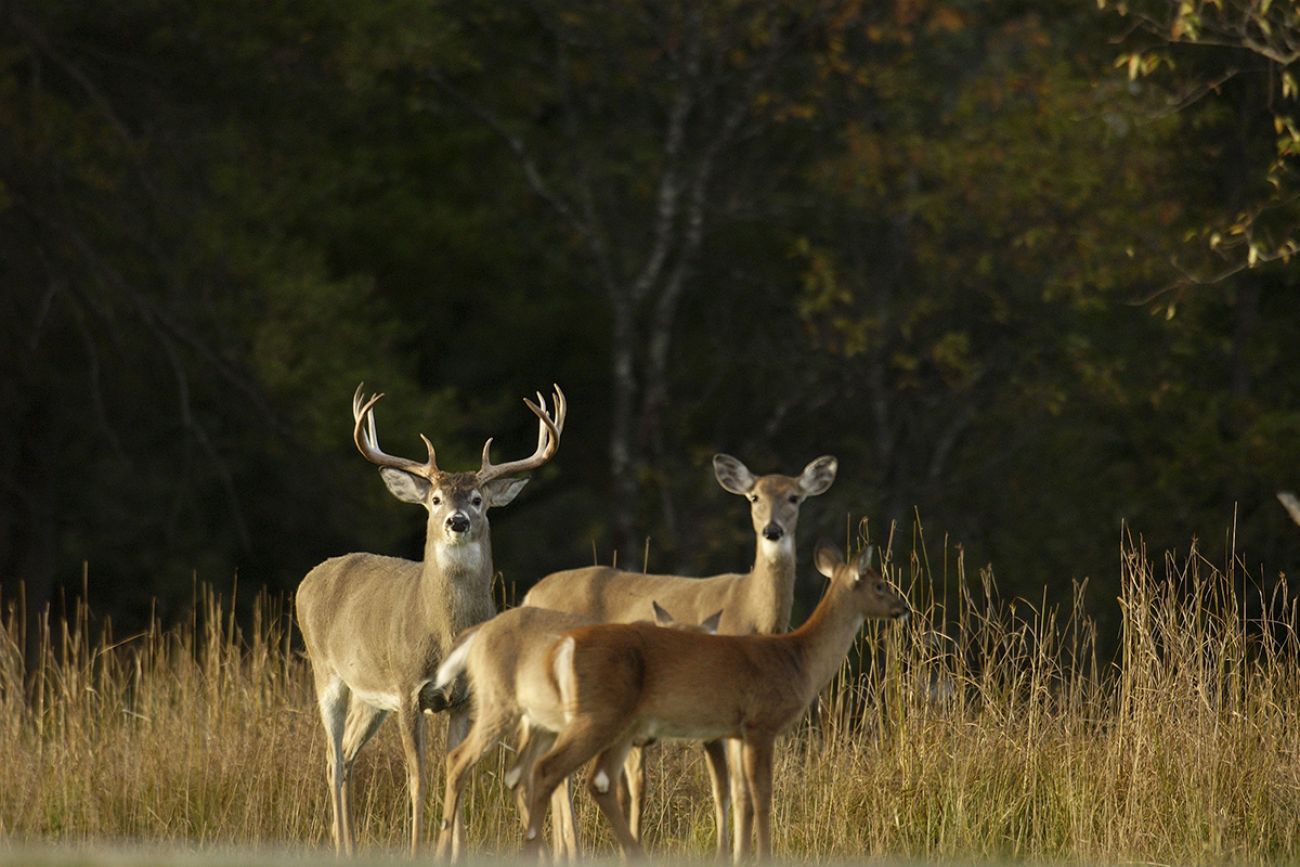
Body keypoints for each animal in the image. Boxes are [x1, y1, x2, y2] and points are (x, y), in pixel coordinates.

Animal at [297, 384, 566, 852]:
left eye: (478, 500)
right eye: (436, 499)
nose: (457, 521)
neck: (446, 635)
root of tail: (308, 579)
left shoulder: (464, 701)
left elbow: (456, 774)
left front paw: (453, 851)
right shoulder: (408, 690)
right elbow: (418, 778)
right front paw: (417, 846)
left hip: (370, 697)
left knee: (347, 753)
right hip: (326, 673)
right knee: (332, 759)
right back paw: (343, 845)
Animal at [434, 603, 722, 863]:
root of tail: (479, 633)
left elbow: (634, 789)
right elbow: (617, 790)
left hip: (540, 724)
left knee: (517, 776)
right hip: (499, 705)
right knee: (458, 758)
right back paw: (443, 850)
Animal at [522, 454, 837, 852]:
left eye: (794, 497)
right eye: (754, 497)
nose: (772, 531)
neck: (751, 610)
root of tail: (529, 595)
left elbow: (732, 790)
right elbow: (731, 789)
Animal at [522, 543, 909, 863]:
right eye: (879, 584)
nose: (903, 607)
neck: (798, 657)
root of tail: (564, 645)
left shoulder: (735, 731)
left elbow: (739, 794)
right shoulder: (760, 723)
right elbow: (762, 794)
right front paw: (764, 856)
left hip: (614, 724)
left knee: (586, 779)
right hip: (600, 716)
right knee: (549, 769)